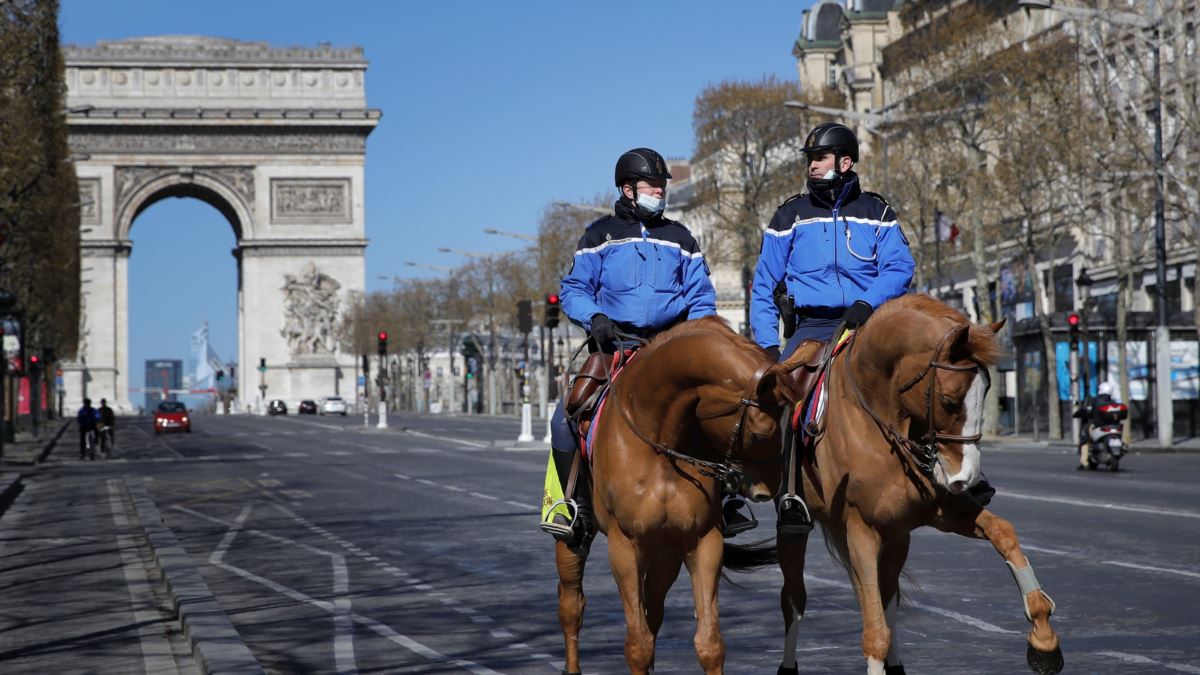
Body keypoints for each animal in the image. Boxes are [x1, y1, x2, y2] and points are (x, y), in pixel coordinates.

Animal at [554, 314, 801, 672]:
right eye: (760, 433)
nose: (768, 489)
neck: (660, 444)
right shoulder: (624, 546)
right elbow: (637, 645)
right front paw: (602, 324)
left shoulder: (702, 540)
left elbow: (709, 644)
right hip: (573, 541)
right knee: (572, 605)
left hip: (665, 554)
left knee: (652, 612)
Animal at [772, 294, 1065, 672]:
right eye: (949, 400)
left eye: (987, 391)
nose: (966, 476)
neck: (878, 421)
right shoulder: (860, 528)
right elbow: (874, 634)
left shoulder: (940, 509)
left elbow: (1003, 532)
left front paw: (1044, 639)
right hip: (796, 533)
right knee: (795, 598)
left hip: (898, 537)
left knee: (888, 596)